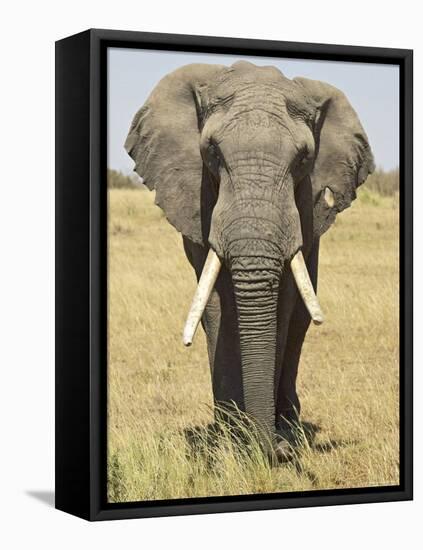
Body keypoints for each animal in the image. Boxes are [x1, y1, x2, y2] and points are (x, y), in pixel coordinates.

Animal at [124, 61, 376, 462]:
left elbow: (283, 304)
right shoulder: (199, 198)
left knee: (300, 320)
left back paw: (287, 423)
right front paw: (231, 439)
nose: (279, 451)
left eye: (303, 158)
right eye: (211, 151)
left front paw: (267, 437)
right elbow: (215, 304)